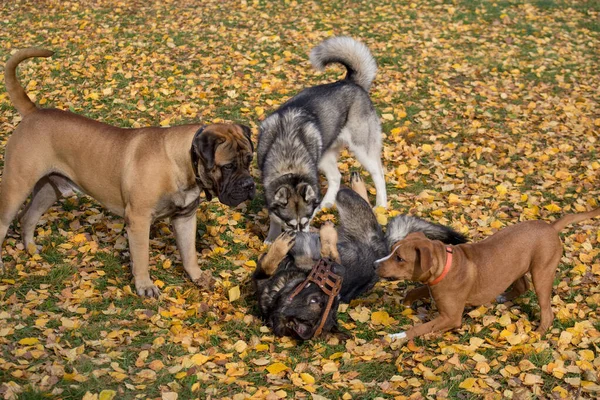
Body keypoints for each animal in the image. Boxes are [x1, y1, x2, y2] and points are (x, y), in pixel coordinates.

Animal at [0, 47, 254, 296]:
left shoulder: (185, 217)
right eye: (228, 166)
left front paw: (198, 278)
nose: (249, 185)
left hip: (50, 188)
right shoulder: (139, 219)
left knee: (28, 217)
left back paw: (31, 249)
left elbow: (189, 252)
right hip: (16, 186)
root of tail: (33, 113)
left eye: (250, 160)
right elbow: (141, 256)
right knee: (6, 220)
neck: (182, 163)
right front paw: (145, 286)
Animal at [251, 173, 466, 340]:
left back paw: (355, 186)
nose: (338, 271)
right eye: (315, 300)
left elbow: (323, 253)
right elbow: (269, 265)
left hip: (348, 203)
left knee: (360, 202)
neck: (282, 290)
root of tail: (385, 246)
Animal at [376, 206, 600, 340]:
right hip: (517, 266)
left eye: (399, 258)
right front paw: (405, 303)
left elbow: (420, 328)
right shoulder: (432, 286)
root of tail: (551, 227)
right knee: (522, 285)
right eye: (393, 250)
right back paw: (503, 297)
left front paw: (396, 336)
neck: (445, 264)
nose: (375, 264)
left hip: (542, 272)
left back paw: (538, 333)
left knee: (546, 310)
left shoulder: (451, 317)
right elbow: (414, 290)